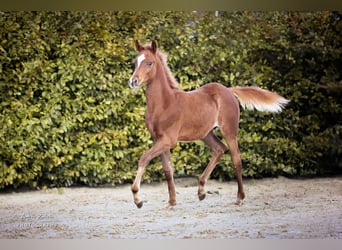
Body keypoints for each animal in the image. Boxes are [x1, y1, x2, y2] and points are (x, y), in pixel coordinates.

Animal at [128, 40, 288, 209]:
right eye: (135, 62)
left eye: (149, 63)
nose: (133, 81)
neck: (164, 103)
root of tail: (229, 90)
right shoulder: (159, 140)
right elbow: (167, 169)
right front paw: (171, 202)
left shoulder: (168, 140)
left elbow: (144, 158)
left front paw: (138, 199)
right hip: (206, 133)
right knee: (219, 149)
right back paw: (201, 191)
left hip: (229, 131)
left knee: (236, 158)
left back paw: (239, 198)